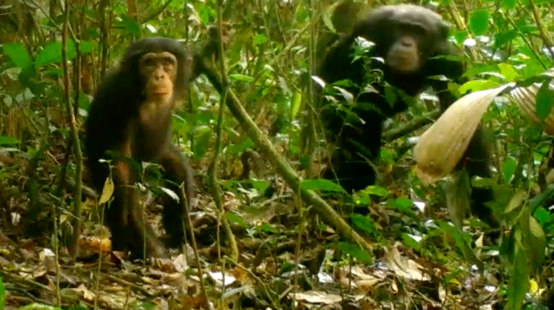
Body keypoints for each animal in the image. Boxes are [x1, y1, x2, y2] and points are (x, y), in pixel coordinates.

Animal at [84, 37, 201, 260]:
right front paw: (148, 245)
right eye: (149, 63)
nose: (159, 75)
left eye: (167, 62)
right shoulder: (118, 99)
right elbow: (120, 167)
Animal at [314, 4, 496, 228]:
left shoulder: (447, 60)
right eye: (402, 29)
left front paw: (487, 212)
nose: (407, 43)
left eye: (419, 32)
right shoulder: (365, 36)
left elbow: (465, 117)